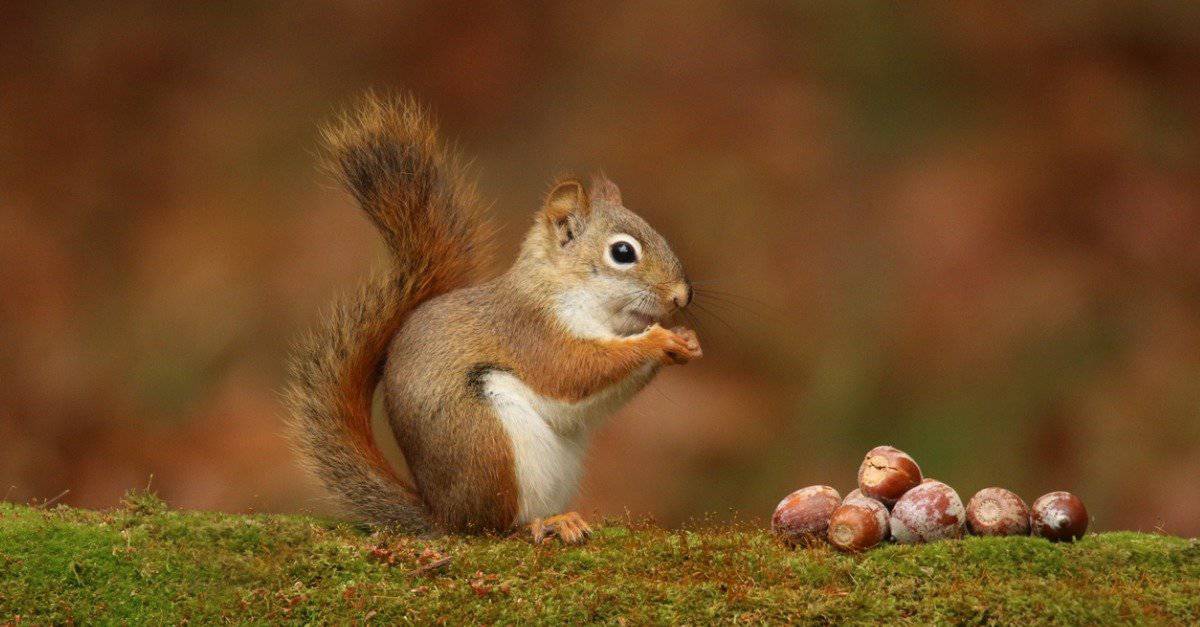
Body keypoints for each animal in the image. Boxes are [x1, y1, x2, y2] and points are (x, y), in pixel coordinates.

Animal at [283, 93, 701, 545]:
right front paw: (658, 340)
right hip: (489, 441)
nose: (682, 296)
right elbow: (572, 371)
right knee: (493, 527)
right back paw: (544, 524)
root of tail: (443, 517)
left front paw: (686, 340)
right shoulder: (531, 331)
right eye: (623, 253)